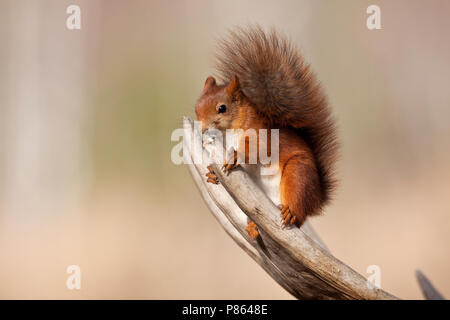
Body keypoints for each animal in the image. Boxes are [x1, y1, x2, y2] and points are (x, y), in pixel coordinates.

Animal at [193, 26, 338, 238]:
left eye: (222, 108)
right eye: (196, 107)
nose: (203, 130)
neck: (228, 133)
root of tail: (317, 199)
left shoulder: (262, 134)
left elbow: (256, 150)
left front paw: (235, 156)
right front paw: (212, 174)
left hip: (298, 176)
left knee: (299, 215)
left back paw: (289, 213)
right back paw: (253, 227)